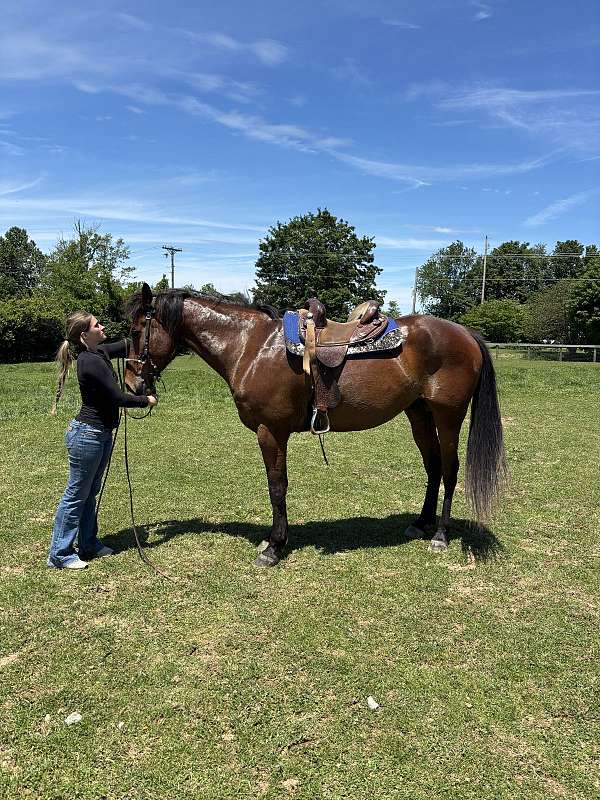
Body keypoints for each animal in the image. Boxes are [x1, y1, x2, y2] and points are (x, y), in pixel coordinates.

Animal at [124, 283, 506, 567]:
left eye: (136, 329)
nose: (131, 384)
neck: (251, 345)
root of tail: (465, 332)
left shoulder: (271, 431)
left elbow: (277, 487)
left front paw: (274, 547)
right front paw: (274, 540)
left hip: (448, 416)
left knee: (450, 469)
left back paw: (440, 535)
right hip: (419, 414)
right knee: (433, 467)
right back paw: (421, 524)